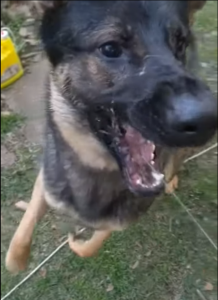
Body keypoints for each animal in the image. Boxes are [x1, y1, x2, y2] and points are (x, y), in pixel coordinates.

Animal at [5, 0, 216, 274]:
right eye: (110, 48)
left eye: (179, 44)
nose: (207, 120)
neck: (97, 165)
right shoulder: (46, 182)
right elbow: (25, 226)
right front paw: (16, 260)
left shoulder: (119, 221)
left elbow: (90, 245)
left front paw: (76, 242)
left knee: (175, 162)